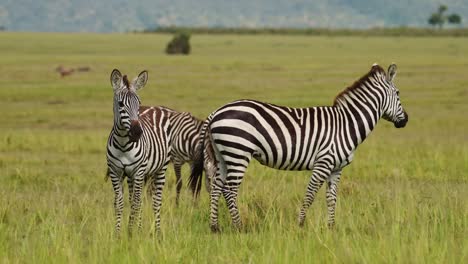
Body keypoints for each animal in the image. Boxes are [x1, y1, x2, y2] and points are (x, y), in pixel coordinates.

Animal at [106, 69, 172, 236]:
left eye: (139, 103)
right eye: (121, 104)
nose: (137, 132)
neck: (123, 144)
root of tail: (155, 107)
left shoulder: (138, 171)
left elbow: (135, 204)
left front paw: (130, 233)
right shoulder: (115, 172)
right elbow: (120, 203)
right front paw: (119, 234)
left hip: (161, 168)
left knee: (156, 201)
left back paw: (158, 232)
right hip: (133, 176)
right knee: (137, 199)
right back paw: (141, 229)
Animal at [190, 63, 410, 231]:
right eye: (398, 93)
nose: (406, 120)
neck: (346, 124)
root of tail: (216, 111)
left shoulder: (336, 168)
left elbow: (332, 198)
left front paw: (331, 228)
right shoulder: (323, 162)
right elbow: (310, 195)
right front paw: (301, 224)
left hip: (222, 155)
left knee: (217, 187)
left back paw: (215, 227)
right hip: (238, 152)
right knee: (230, 189)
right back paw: (239, 227)